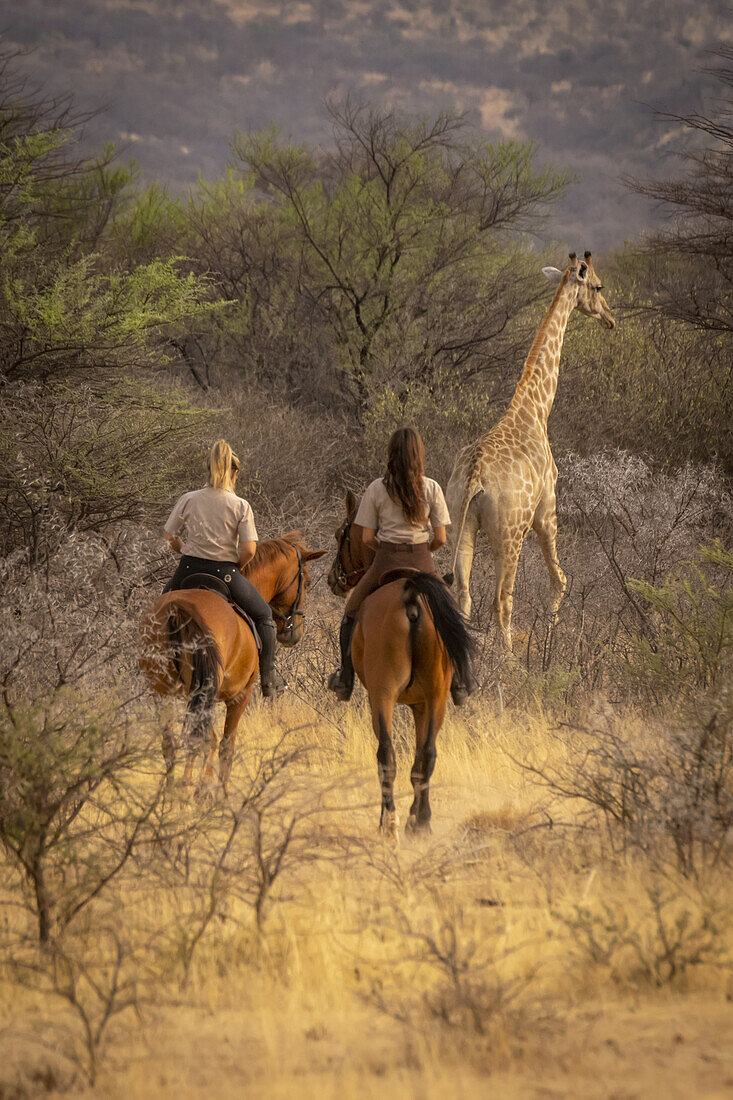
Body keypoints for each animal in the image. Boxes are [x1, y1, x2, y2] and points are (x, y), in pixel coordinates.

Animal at [140, 530, 323, 792]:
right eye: (306, 582)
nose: (294, 634)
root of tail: (179, 608)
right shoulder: (240, 695)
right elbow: (227, 744)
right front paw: (220, 793)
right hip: (203, 690)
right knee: (203, 738)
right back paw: (191, 790)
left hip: (162, 691)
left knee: (171, 742)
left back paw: (171, 792)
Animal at [325, 495, 473, 836]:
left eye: (341, 534)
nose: (333, 579)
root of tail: (412, 595)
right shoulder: (421, 704)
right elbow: (421, 759)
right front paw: (417, 817)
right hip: (436, 698)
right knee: (427, 756)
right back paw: (421, 823)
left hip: (382, 695)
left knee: (386, 755)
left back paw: (388, 823)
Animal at [444, 251, 611, 646]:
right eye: (598, 287)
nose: (610, 319)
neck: (536, 408)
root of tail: (474, 475)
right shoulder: (547, 507)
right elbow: (559, 579)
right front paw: (549, 637)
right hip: (509, 534)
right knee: (501, 601)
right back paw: (510, 659)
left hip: (460, 522)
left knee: (464, 594)